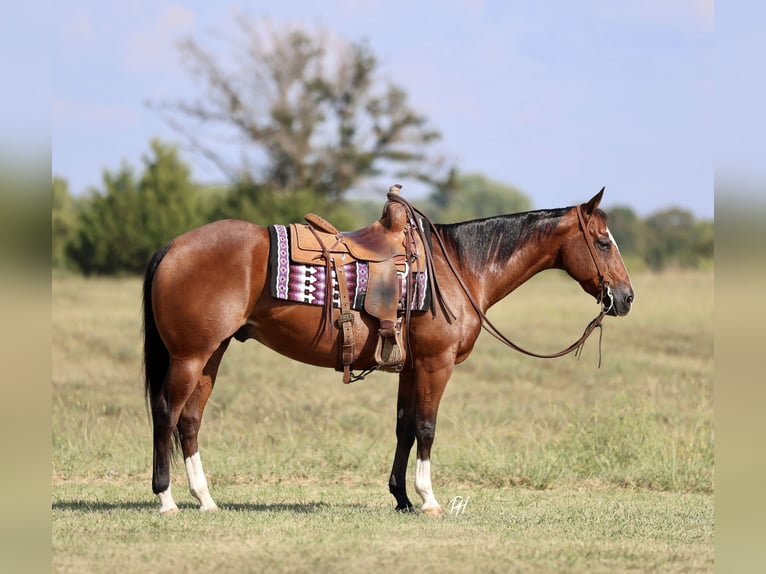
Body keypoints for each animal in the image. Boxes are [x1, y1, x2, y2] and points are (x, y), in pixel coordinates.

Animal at [142, 187, 634, 515]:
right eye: (603, 241)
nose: (626, 298)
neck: (458, 268)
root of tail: (173, 245)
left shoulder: (410, 369)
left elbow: (404, 429)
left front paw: (400, 497)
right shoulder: (436, 366)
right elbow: (427, 428)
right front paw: (428, 499)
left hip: (211, 354)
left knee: (190, 419)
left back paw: (205, 499)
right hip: (190, 356)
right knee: (166, 412)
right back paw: (166, 498)